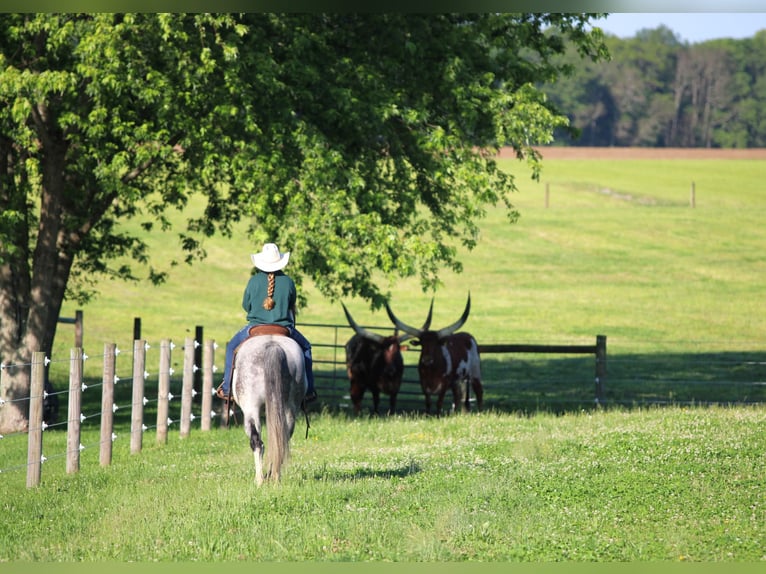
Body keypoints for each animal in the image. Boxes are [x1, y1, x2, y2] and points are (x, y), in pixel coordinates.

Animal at [232, 333, 307, 486]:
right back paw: (275, 477)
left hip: (251, 408)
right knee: (281, 440)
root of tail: (273, 346)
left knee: (256, 442)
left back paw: (260, 480)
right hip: (289, 409)